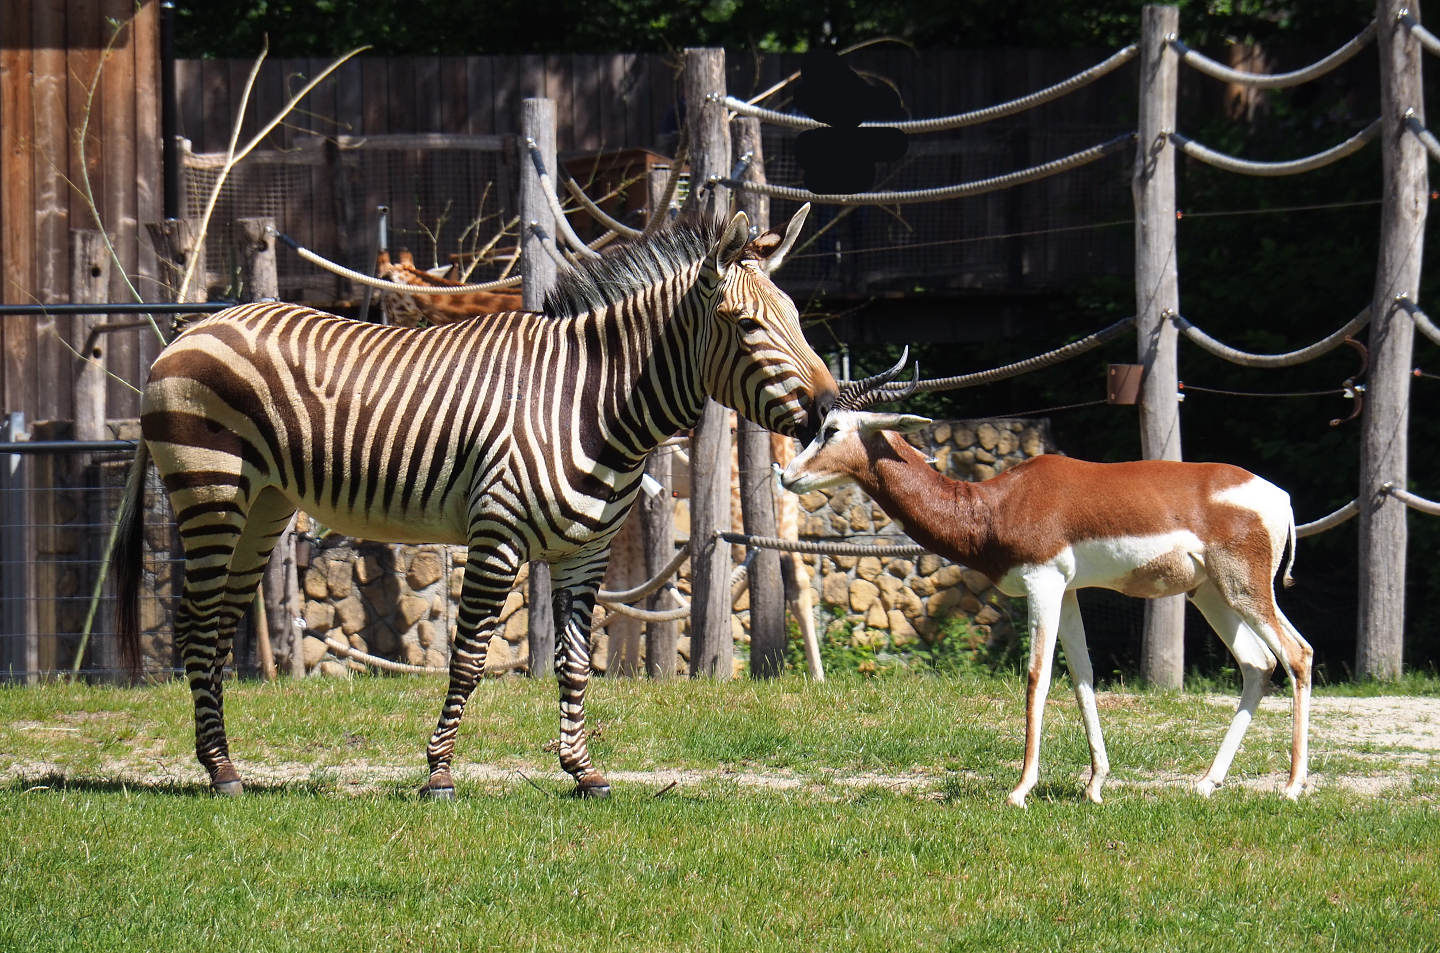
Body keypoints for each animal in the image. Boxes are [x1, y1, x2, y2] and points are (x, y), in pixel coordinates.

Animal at [114, 208, 836, 799]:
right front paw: (439, 773)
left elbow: (577, 662)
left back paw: (223, 763)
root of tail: (197, 325)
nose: (830, 411)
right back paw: (219, 771)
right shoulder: (498, 535)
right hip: (211, 492)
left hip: (262, 506)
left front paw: (584, 771)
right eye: (746, 325)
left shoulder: (586, 551)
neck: (590, 401)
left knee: (218, 622)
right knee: (194, 623)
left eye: (798, 318)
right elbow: (467, 658)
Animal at [780, 356, 1312, 807]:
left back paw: (1291, 787)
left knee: (1297, 654)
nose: (786, 475)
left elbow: (1037, 677)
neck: (991, 506)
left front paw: (1021, 789)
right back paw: (1206, 783)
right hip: (1211, 593)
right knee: (1257, 664)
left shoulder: (1043, 584)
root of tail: (1280, 495)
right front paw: (1095, 785)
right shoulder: (1070, 591)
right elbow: (1082, 676)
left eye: (830, 430)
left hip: (1244, 588)